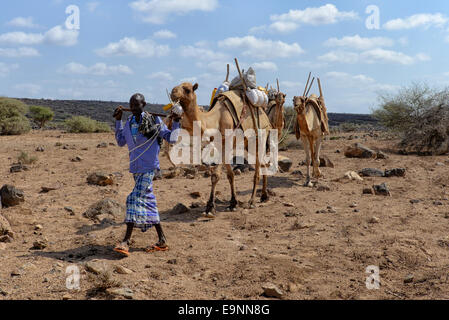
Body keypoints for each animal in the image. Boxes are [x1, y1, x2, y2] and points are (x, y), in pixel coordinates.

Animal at [170, 82, 270, 218]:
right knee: (263, 164)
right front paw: (233, 203)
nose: (173, 92)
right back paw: (264, 196)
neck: (214, 121)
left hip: (258, 139)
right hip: (247, 145)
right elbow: (230, 175)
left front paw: (209, 208)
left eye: (187, 89)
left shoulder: (226, 144)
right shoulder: (220, 146)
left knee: (258, 169)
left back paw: (252, 201)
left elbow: (215, 176)